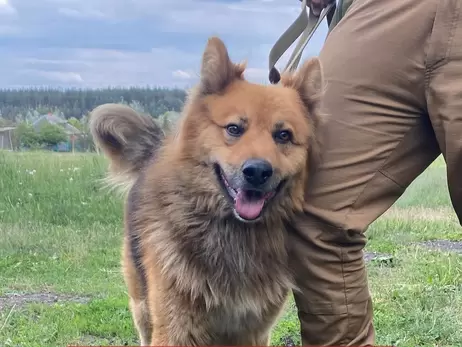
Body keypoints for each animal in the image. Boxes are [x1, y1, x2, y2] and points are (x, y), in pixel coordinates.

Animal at [88, 36, 324, 346]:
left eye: (283, 135)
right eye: (234, 128)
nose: (257, 172)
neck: (234, 234)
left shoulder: (252, 331)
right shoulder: (175, 328)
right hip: (142, 304)